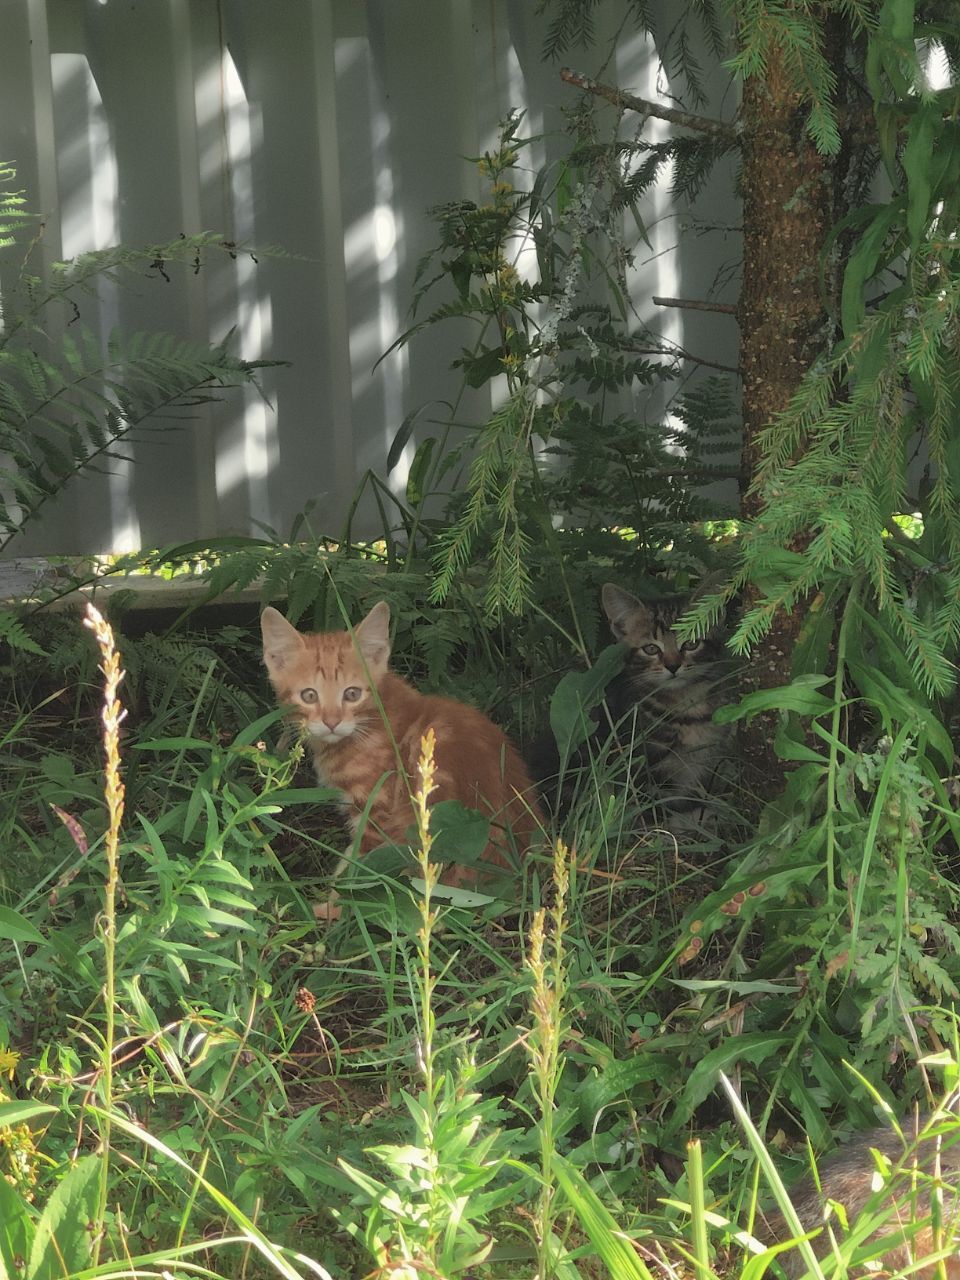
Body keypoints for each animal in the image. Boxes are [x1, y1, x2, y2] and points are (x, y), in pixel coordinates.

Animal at [259, 604, 545, 896]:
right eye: (309, 695)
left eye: (352, 694)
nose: (331, 722)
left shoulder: (377, 813)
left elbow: (359, 871)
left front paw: (332, 901)